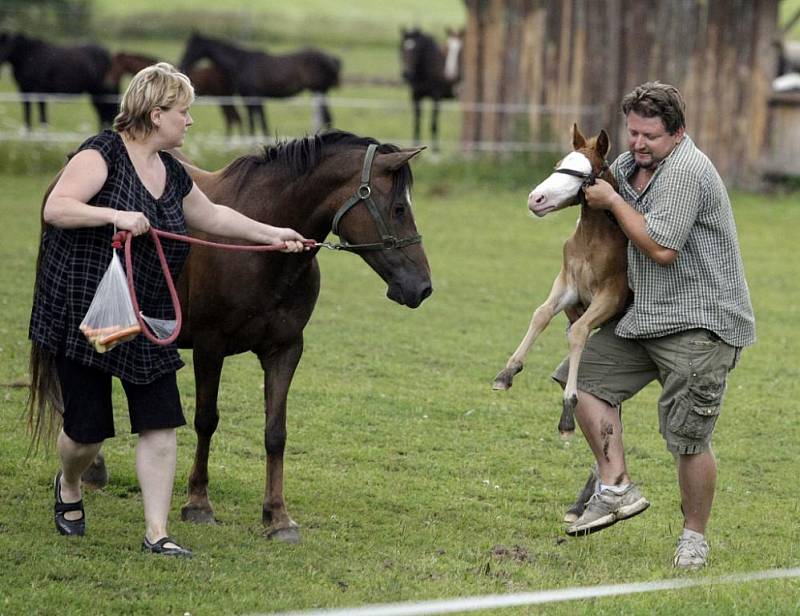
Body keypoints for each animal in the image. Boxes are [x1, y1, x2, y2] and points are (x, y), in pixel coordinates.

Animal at [29, 129, 432, 540]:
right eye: (399, 209)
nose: (421, 287)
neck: (258, 250)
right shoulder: (210, 347)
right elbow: (206, 420)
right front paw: (198, 503)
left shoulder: (285, 350)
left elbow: (276, 432)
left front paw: (278, 516)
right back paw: (91, 470)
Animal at [107, 52, 244, 137]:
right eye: (112, 64)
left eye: (117, 65)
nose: (110, 80)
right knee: (233, 117)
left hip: (224, 97)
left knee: (233, 117)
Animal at [178, 32, 340, 136]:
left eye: (191, 47)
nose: (182, 64)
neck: (241, 62)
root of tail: (331, 58)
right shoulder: (249, 98)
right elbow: (256, 122)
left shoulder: (254, 97)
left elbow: (258, 122)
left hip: (319, 91)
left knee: (326, 117)